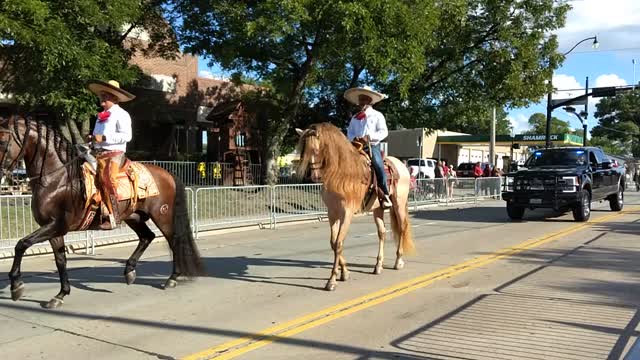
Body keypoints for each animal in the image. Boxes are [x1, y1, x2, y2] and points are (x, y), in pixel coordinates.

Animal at [0, 116, 204, 308]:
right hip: (134, 217)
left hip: (162, 216)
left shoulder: (56, 225)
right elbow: (60, 260)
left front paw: (16, 285)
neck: (57, 178)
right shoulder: (53, 229)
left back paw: (172, 278)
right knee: (147, 236)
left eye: (2, 141)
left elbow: (22, 244)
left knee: (174, 241)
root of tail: (168, 174)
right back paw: (129, 271)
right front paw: (61, 294)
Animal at [296, 122, 416, 292]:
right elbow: (333, 243)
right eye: (303, 150)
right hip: (378, 208)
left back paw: (398, 261)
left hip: (399, 203)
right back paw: (378, 265)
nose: (313, 177)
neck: (340, 174)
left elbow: (339, 243)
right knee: (382, 232)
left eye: (317, 149)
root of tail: (401, 164)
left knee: (402, 227)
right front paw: (344, 273)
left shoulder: (346, 213)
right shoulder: (332, 213)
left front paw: (332, 280)